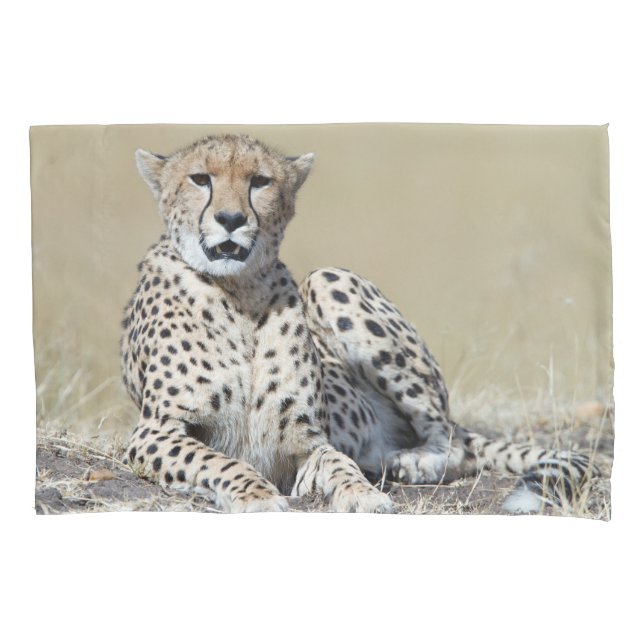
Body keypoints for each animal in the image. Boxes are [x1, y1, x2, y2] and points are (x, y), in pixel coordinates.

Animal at [120, 133, 597, 513]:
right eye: (200, 179)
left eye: (260, 181)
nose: (231, 219)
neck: (239, 293)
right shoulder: (155, 430)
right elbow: (217, 459)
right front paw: (256, 496)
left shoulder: (309, 441)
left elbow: (337, 461)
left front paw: (361, 493)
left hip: (328, 278)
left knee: (452, 440)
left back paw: (413, 462)